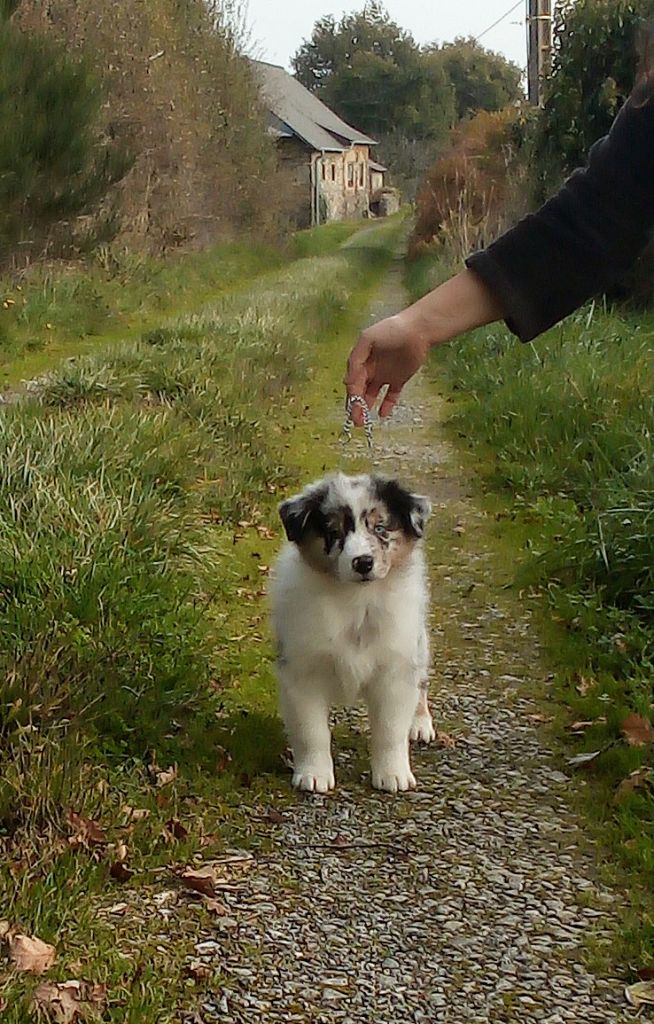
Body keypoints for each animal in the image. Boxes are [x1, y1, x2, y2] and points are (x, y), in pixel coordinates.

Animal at [270, 468, 433, 790]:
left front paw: (393, 774)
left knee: (420, 682)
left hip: (417, 640)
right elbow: (311, 730)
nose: (363, 563)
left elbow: (390, 729)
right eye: (334, 532)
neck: (355, 600)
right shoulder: (302, 670)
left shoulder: (394, 668)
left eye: (381, 528)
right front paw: (314, 775)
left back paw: (420, 723)